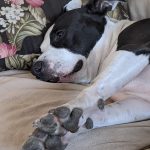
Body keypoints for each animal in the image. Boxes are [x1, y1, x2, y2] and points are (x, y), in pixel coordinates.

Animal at [22, 0, 150, 150]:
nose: (35, 68)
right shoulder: (140, 103)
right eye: (41, 49)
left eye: (60, 34)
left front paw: (66, 114)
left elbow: (96, 88)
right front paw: (55, 134)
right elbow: (101, 113)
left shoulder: (134, 50)